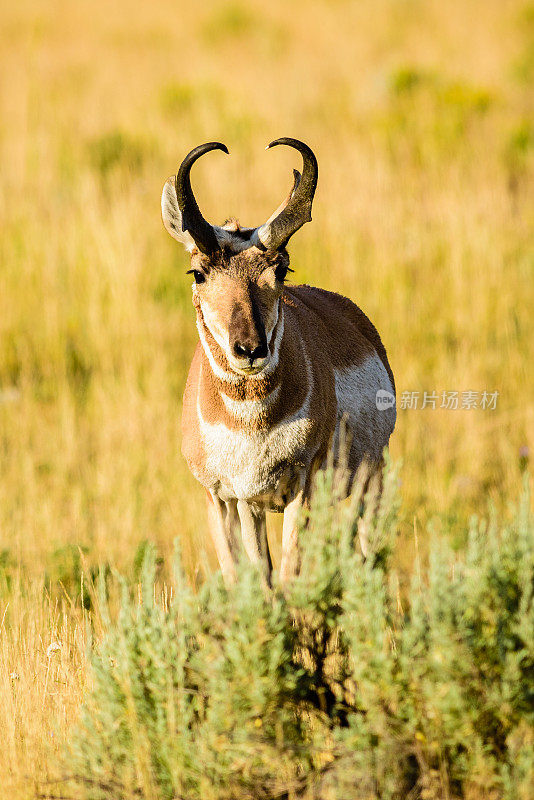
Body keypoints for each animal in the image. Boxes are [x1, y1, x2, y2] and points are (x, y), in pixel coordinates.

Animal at [163, 139, 398, 580]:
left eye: (281, 269)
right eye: (197, 272)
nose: (251, 349)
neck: (248, 420)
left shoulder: (299, 490)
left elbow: (288, 575)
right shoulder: (227, 499)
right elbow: (250, 578)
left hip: (369, 480)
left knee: (367, 553)